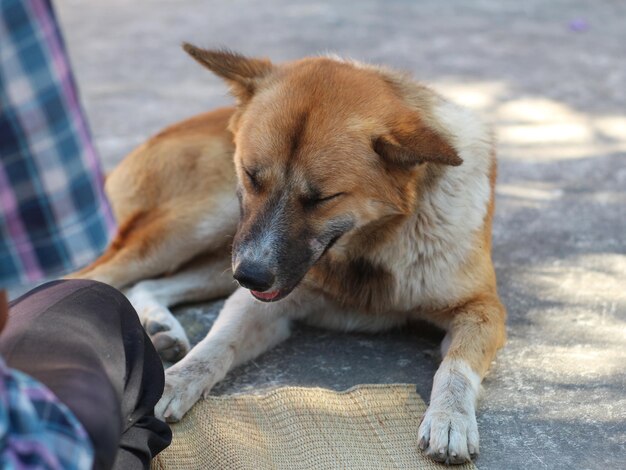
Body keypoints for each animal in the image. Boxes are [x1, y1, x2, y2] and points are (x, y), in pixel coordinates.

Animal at [69, 46, 508, 464]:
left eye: (323, 198)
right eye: (250, 175)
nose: (252, 277)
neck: (372, 245)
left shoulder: (482, 309)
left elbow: (456, 366)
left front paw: (450, 419)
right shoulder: (263, 299)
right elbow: (215, 346)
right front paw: (175, 381)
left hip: (224, 252)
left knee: (147, 284)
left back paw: (162, 329)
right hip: (202, 231)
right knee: (93, 276)